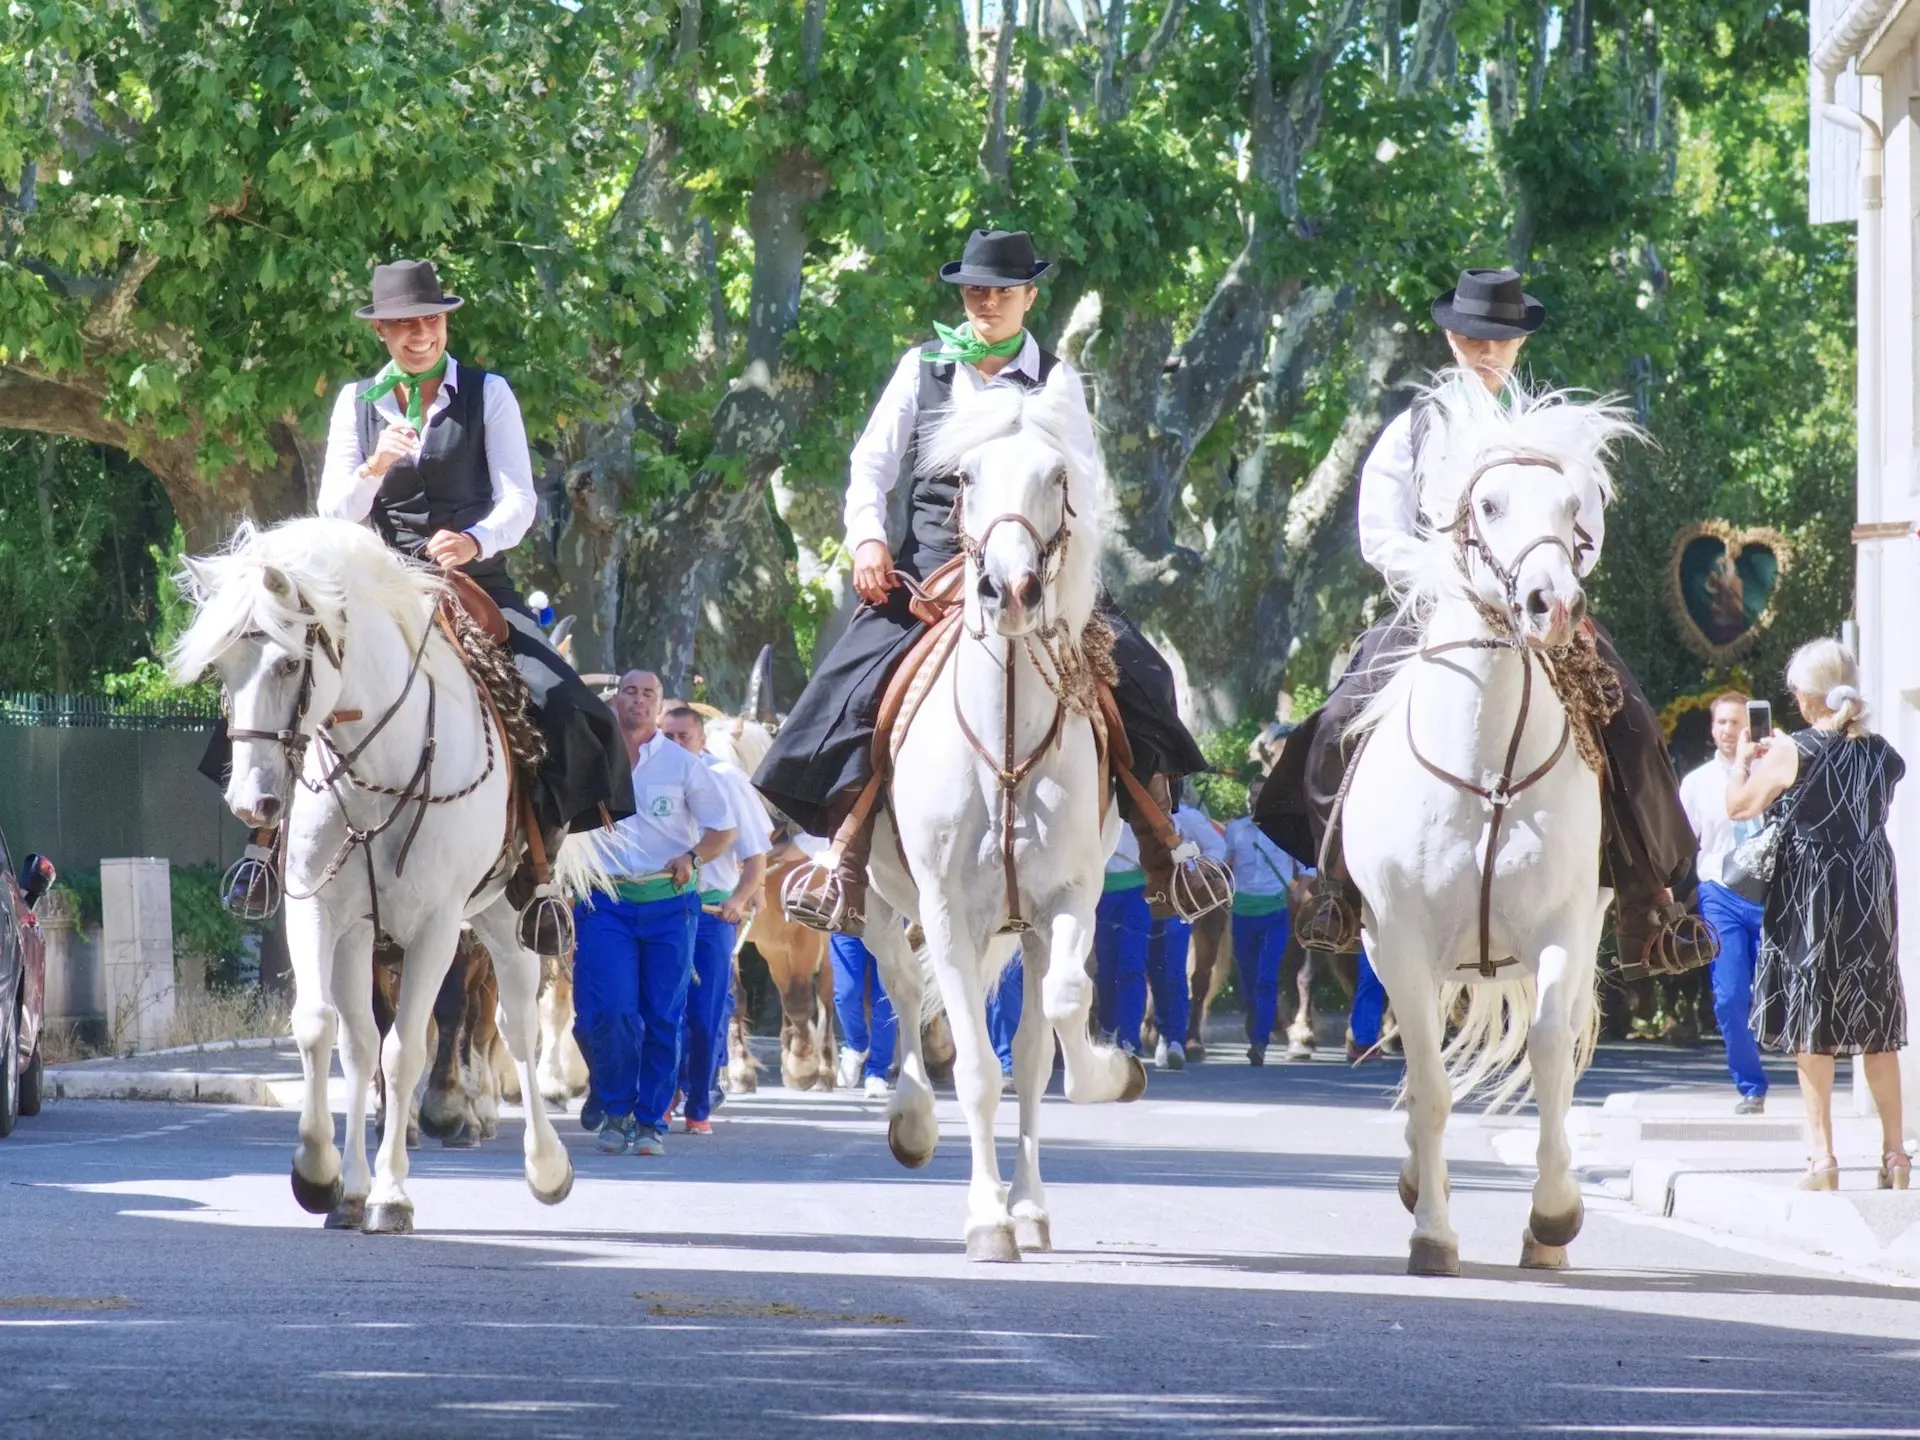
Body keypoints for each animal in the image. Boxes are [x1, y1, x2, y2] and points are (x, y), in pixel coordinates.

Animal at [174, 526, 568, 1236]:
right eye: (222, 667)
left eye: (287, 665)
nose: (252, 804)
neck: (377, 766)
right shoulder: (316, 909)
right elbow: (322, 1029)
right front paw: (322, 1177)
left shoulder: (438, 928)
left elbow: (407, 1049)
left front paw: (392, 1194)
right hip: (365, 935)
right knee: (360, 1040)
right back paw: (352, 1187)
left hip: (504, 917)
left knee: (517, 1023)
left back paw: (545, 1166)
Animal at [852, 380, 1136, 1259]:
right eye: (966, 477)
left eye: (1058, 475)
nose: (1009, 592)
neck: (1006, 741)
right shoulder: (945, 908)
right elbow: (976, 1068)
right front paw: (984, 1220)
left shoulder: (1064, 903)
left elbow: (1056, 1027)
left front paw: (1108, 1077)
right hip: (883, 903)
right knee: (904, 984)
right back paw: (911, 1120)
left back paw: (1031, 1205)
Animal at [1344, 378, 1643, 1282]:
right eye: (1487, 503)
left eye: (1574, 508)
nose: (1554, 605)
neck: (1487, 769)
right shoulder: (1401, 940)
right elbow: (1432, 1084)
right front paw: (1433, 1234)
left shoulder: (1561, 928)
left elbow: (1548, 1053)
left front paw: (1553, 1216)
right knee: (1423, 1068)